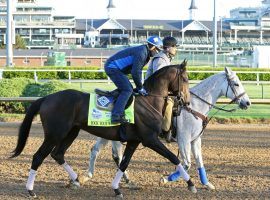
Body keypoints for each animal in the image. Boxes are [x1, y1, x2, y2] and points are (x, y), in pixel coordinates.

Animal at [11, 60, 196, 198]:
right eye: (186, 79)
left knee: (58, 154)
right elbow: (174, 157)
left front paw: (116, 188)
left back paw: (76, 179)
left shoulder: (134, 141)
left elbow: (124, 163)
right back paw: (31, 190)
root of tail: (46, 98)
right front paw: (191, 184)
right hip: (54, 134)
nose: (187, 102)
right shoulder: (150, 139)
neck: (148, 101)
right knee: (38, 157)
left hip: (71, 132)